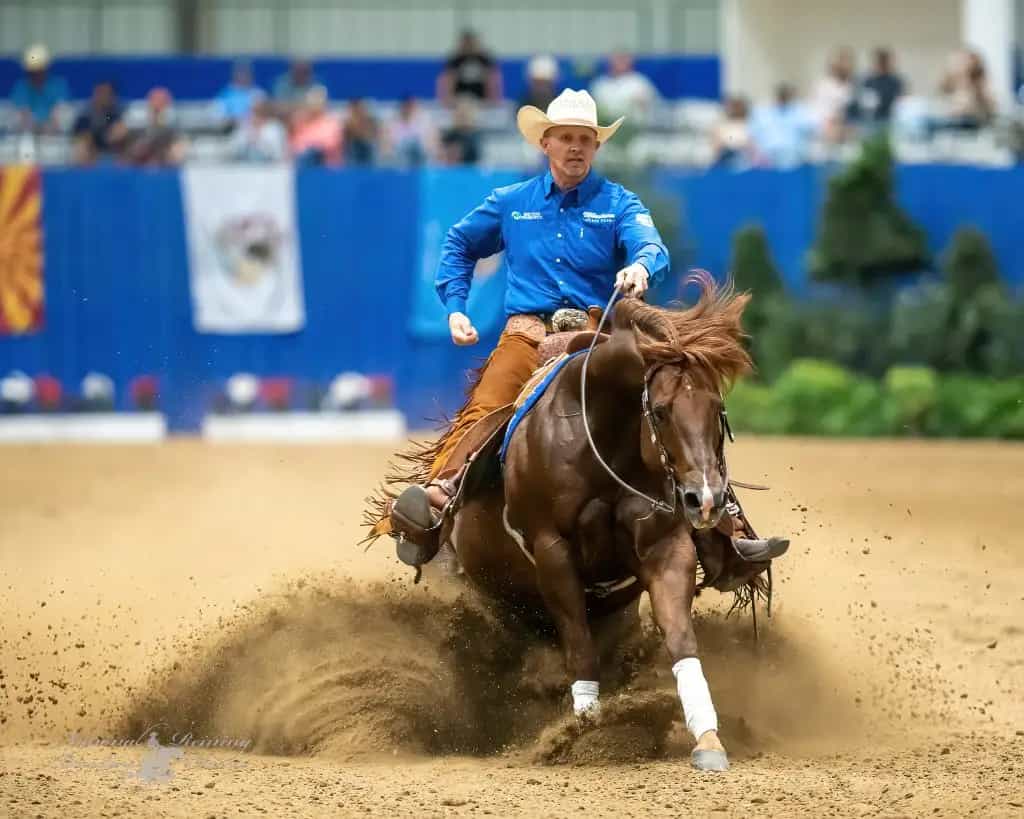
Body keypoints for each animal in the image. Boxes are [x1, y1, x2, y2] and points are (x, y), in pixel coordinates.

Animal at [372, 273, 776, 771]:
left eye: (717, 408)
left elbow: (681, 638)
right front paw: (587, 730)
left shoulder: (667, 547)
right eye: (660, 411)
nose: (705, 500)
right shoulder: (551, 550)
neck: (604, 440)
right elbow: (579, 647)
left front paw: (708, 739)